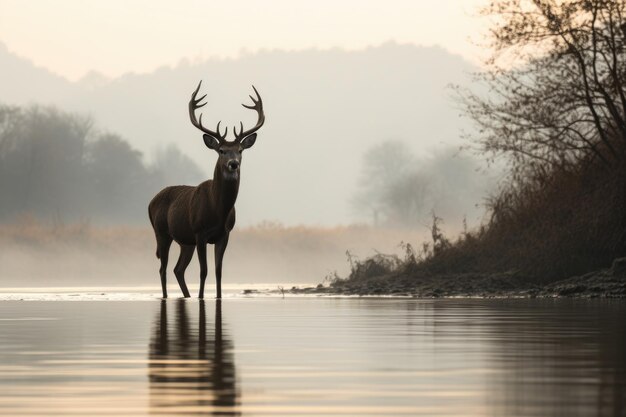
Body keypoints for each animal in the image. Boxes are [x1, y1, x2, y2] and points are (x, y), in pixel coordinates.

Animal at [149, 79, 264, 298]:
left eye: (240, 150)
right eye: (221, 150)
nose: (233, 164)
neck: (217, 210)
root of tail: (151, 201)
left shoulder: (224, 234)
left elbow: (218, 271)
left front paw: (217, 296)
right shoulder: (200, 232)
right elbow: (204, 270)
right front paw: (201, 296)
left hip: (185, 241)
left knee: (178, 269)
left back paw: (187, 295)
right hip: (162, 232)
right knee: (162, 268)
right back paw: (167, 296)